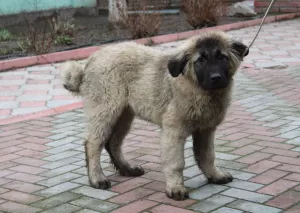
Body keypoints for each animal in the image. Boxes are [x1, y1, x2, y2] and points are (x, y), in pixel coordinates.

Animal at [60, 30, 248, 201]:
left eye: (222, 57)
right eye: (200, 60)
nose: (216, 78)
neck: (199, 89)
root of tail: (90, 61)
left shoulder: (206, 130)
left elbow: (207, 156)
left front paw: (214, 175)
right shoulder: (173, 131)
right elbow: (176, 163)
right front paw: (175, 188)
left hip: (123, 115)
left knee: (113, 143)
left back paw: (127, 169)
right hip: (105, 110)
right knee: (93, 143)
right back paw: (97, 178)